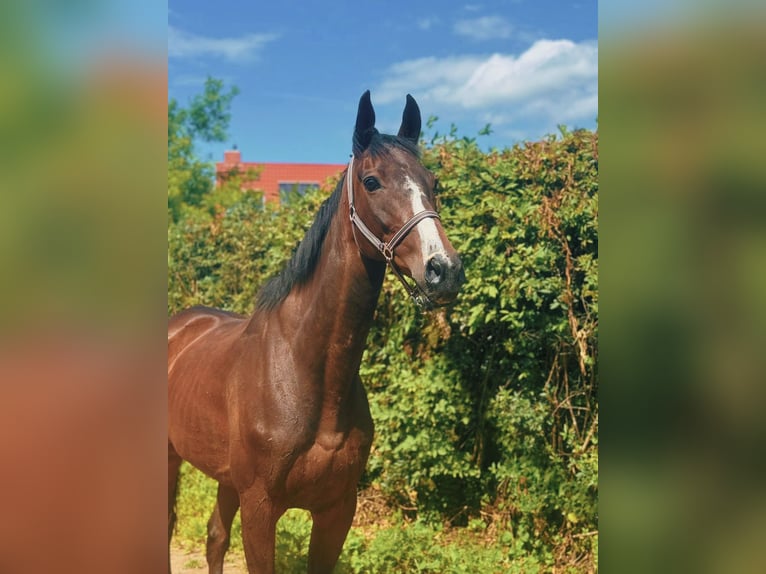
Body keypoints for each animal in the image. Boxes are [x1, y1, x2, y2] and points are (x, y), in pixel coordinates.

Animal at [168, 92, 464, 572]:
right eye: (371, 181)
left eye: (432, 182)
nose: (444, 270)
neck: (304, 372)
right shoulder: (260, 508)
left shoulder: (336, 510)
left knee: (214, 537)